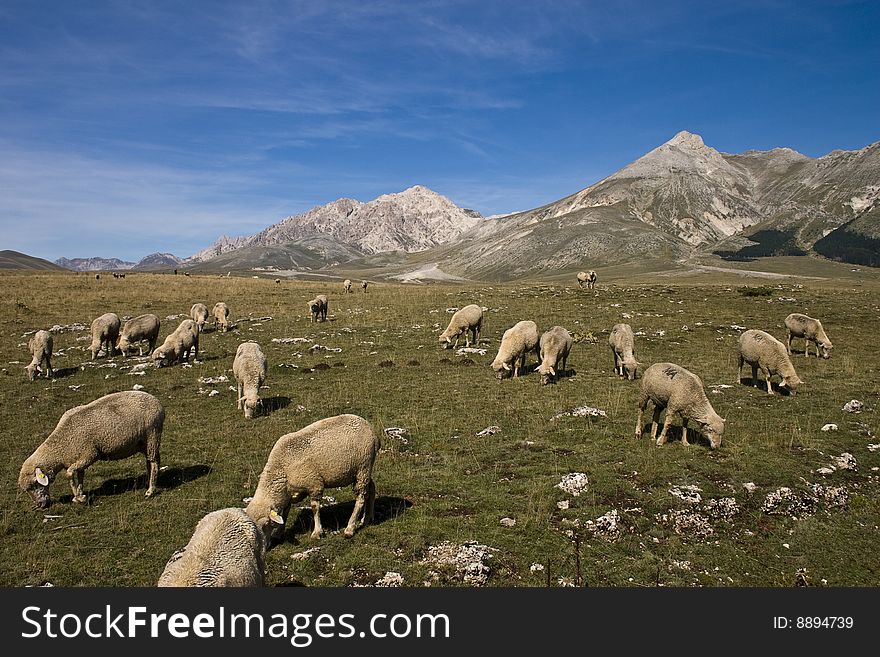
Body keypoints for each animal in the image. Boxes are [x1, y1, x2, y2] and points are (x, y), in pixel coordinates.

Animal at [18, 390, 164, 508]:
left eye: (35, 484)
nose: (40, 506)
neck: (61, 447)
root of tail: (156, 401)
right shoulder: (79, 457)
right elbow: (79, 475)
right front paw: (80, 494)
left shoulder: (90, 454)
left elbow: (69, 474)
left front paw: (79, 498)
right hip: (144, 442)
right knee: (149, 461)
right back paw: (148, 481)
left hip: (152, 435)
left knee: (154, 462)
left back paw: (150, 490)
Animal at [244, 416, 378, 544]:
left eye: (266, 524)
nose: (263, 546)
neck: (282, 468)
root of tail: (371, 430)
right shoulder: (289, 493)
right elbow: (285, 511)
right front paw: (279, 533)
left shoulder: (314, 484)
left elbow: (314, 507)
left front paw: (317, 532)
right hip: (364, 470)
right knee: (371, 488)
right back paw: (367, 518)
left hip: (362, 467)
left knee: (360, 498)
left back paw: (350, 528)